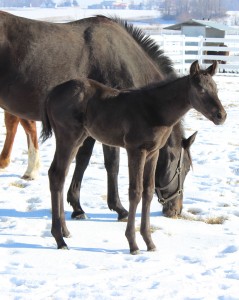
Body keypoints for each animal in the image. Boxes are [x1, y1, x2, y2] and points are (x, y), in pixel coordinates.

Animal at [0, 11, 192, 218]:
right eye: (185, 168)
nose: (175, 210)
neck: (123, 60)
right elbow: (112, 164)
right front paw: (118, 207)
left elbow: (83, 160)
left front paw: (76, 206)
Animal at [40, 60, 226, 253]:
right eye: (201, 90)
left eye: (216, 88)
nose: (221, 115)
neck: (155, 110)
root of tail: (52, 93)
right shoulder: (136, 150)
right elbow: (135, 192)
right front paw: (133, 243)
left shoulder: (153, 153)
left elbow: (148, 191)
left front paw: (149, 242)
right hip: (68, 137)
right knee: (56, 175)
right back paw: (59, 239)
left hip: (78, 139)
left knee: (59, 175)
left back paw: (65, 230)